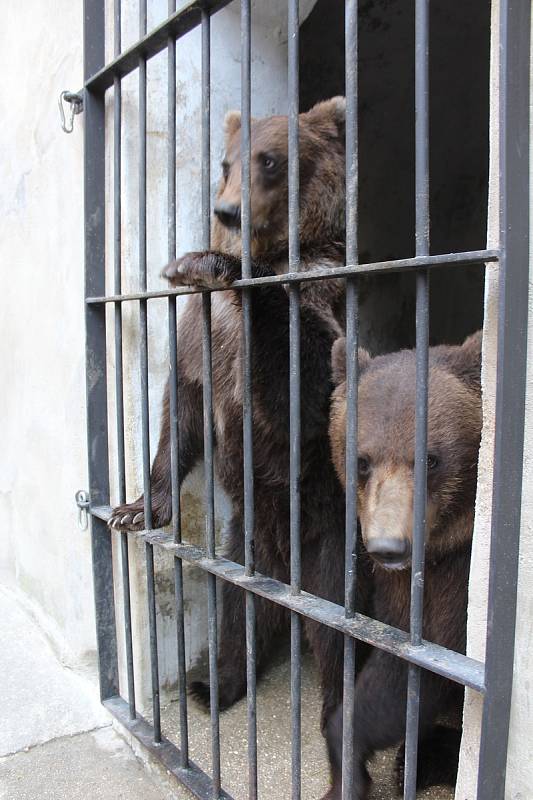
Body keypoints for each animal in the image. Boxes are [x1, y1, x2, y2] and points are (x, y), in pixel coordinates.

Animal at [108, 98, 370, 732]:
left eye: (270, 160)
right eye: (225, 162)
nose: (226, 210)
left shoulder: (321, 293)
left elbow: (309, 388)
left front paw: (207, 262)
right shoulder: (201, 339)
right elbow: (181, 411)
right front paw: (137, 507)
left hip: (331, 540)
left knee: (337, 639)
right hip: (244, 541)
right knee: (235, 615)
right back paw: (214, 683)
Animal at [322, 332, 484, 800]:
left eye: (431, 458)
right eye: (361, 460)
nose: (389, 548)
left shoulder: (460, 580)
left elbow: (423, 669)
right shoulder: (397, 590)